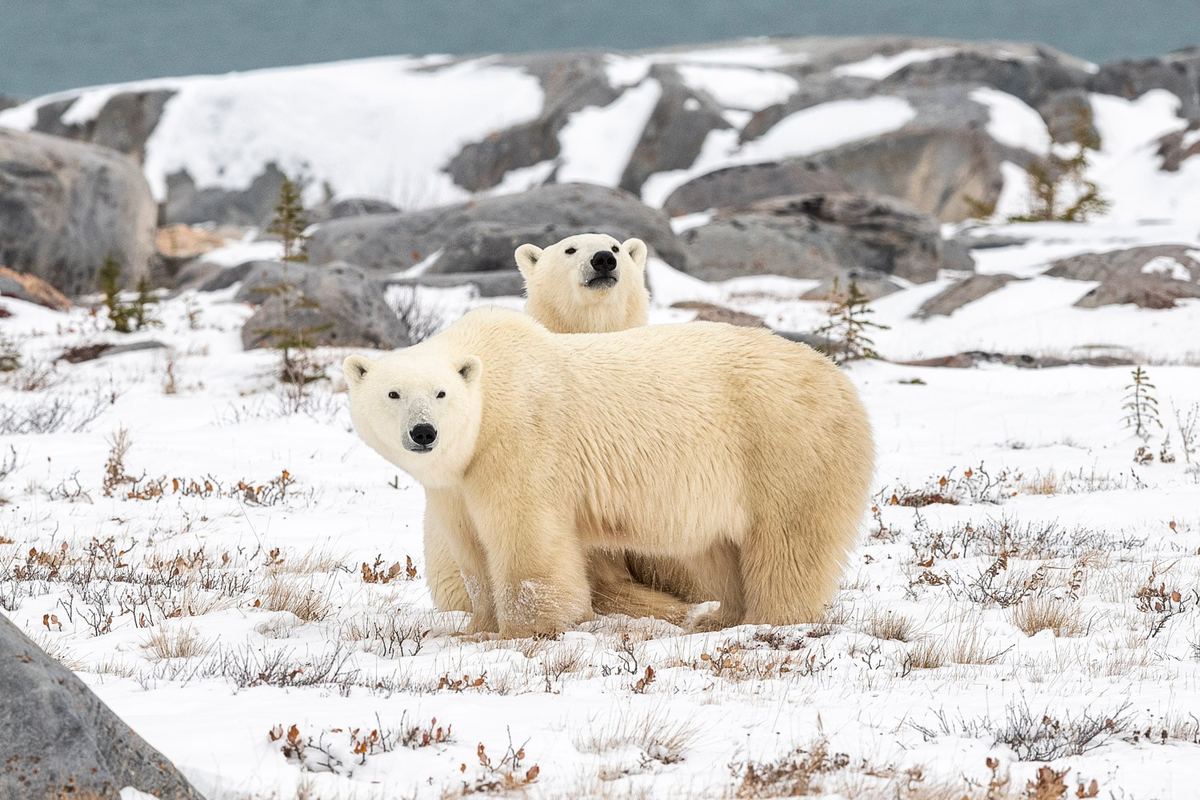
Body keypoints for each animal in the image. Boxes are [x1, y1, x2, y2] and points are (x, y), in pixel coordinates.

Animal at [343, 307, 878, 638]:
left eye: (440, 393)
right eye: (393, 393)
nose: (424, 433)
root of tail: (840, 378)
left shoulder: (521, 443)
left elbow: (526, 540)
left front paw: (524, 630)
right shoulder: (455, 483)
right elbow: (471, 549)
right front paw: (476, 627)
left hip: (783, 445)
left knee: (788, 545)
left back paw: (769, 620)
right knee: (718, 549)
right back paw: (720, 617)